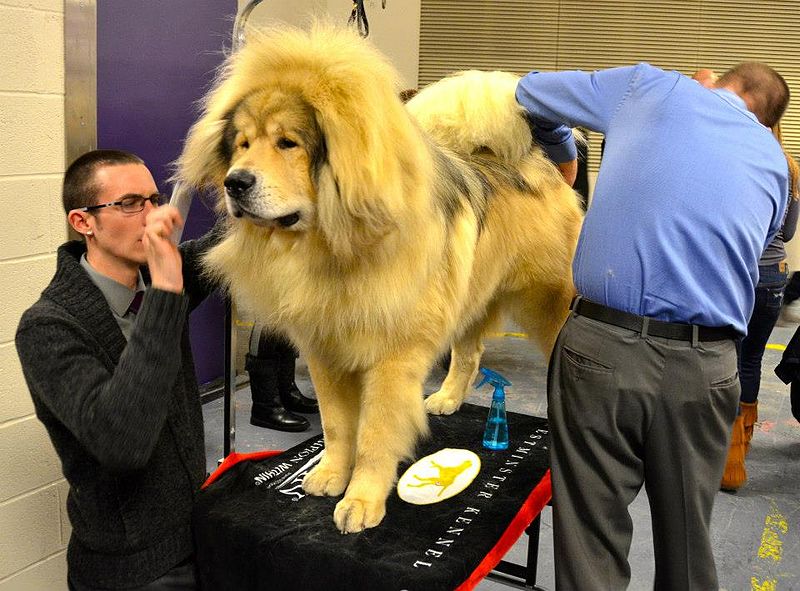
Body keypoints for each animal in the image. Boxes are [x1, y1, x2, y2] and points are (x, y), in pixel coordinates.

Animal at [175, 23, 580, 536]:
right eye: (243, 144)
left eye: (287, 143)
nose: (235, 181)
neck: (332, 247)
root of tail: (535, 165)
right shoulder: (325, 351)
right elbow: (336, 426)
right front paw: (331, 475)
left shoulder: (390, 361)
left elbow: (373, 435)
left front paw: (362, 500)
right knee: (469, 354)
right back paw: (447, 399)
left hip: (547, 303)